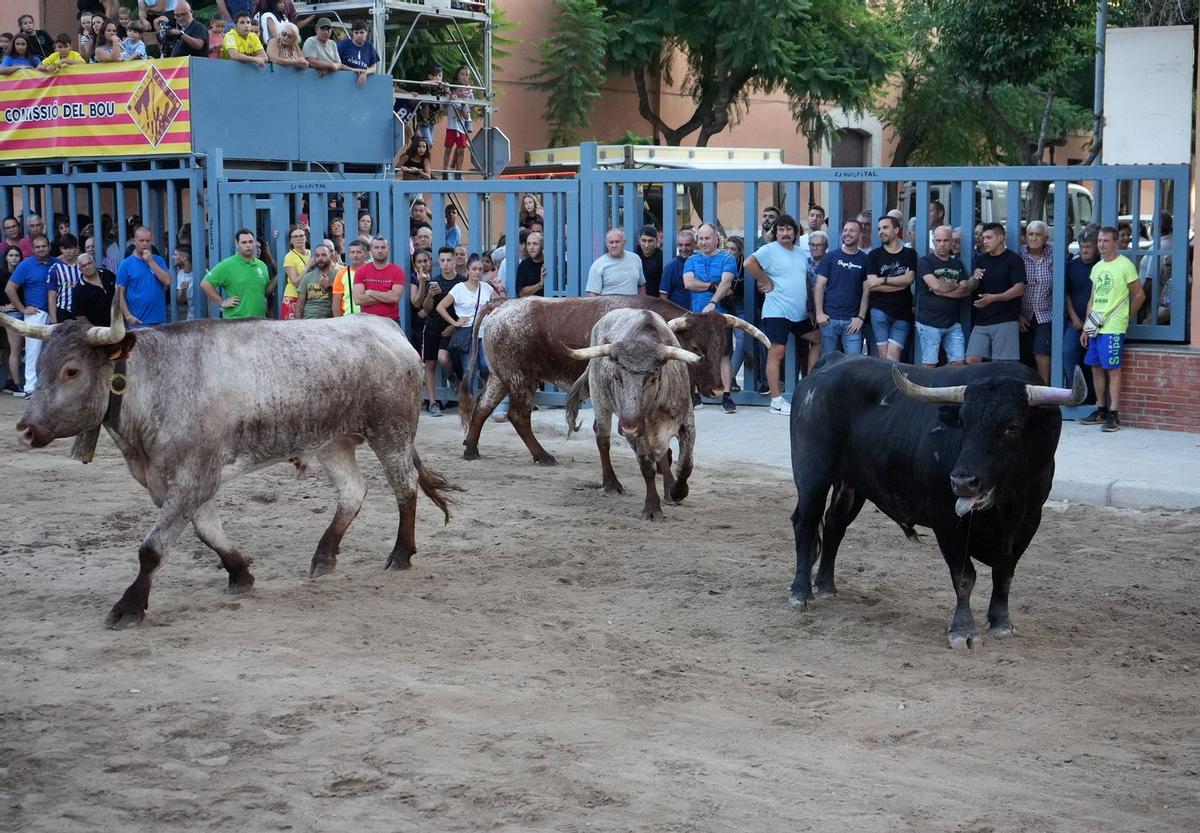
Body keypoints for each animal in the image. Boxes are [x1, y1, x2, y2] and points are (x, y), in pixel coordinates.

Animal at [2, 306, 457, 629]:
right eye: (39, 368)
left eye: (71, 370)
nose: (25, 431)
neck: (157, 382)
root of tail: (387, 328)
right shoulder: (171, 484)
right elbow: (208, 531)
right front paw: (240, 574)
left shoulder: (194, 478)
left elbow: (152, 547)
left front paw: (130, 606)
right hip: (334, 441)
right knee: (352, 492)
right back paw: (324, 556)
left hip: (391, 433)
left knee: (405, 487)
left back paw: (400, 554)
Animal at [456, 295, 769, 465]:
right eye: (695, 349)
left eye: (723, 347)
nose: (717, 389)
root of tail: (502, 305)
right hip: (520, 379)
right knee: (518, 415)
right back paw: (542, 455)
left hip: (501, 376)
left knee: (483, 407)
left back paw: (471, 449)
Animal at [563, 308, 701, 520]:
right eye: (616, 377)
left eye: (653, 378)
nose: (629, 426)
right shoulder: (635, 432)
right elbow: (647, 468)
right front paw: (652, 508)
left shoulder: (687, 423)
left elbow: (685, 464)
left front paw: (677, 491)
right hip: (601, 403)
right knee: (602, 438)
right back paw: (611, 484)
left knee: (661, 454)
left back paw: (668, 487)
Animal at [787, 353, 1086, 648]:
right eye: (963, 424)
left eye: (1011, 427)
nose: (962, 482)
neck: (1007, 502)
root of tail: (831, 362)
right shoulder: (947, 522)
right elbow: (964, 577)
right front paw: (963, 630)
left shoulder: (1029, 521)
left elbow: (1004, 573)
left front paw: (1001, 623)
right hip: (812, 474)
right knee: (806, 523)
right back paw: (801, 593)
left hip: (850, 484)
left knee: (834, 525)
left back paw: (826, 587)